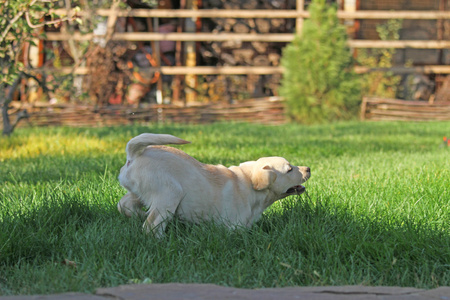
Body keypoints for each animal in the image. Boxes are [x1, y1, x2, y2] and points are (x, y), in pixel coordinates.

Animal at [118, 134, 312, 237]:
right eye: (289, 169)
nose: (308, 168)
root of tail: (133, 156)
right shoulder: (233, 226)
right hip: (169, 193)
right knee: (151, 225)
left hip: (139, 192)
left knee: (124, 204)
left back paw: (137, 215)